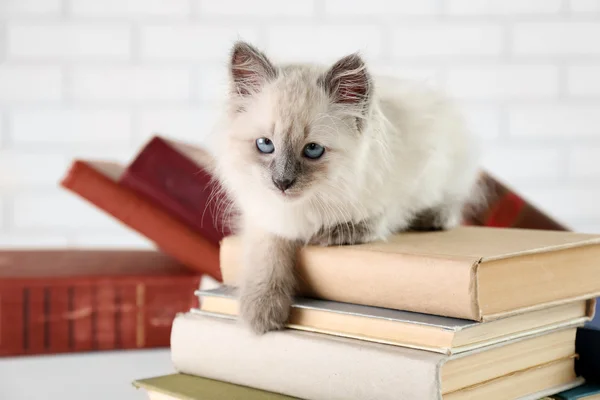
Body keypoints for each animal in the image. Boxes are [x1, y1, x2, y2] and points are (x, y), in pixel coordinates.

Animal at [211, 40, 482, 334]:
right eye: (265, 145)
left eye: (313, 150)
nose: (282, 183)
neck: (307, 205)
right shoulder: (265, 215)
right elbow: (267, 254)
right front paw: (261, 311)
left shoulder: (401, 189)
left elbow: (372, 220)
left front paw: (327, 235)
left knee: (452, 202)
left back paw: (434, 219)